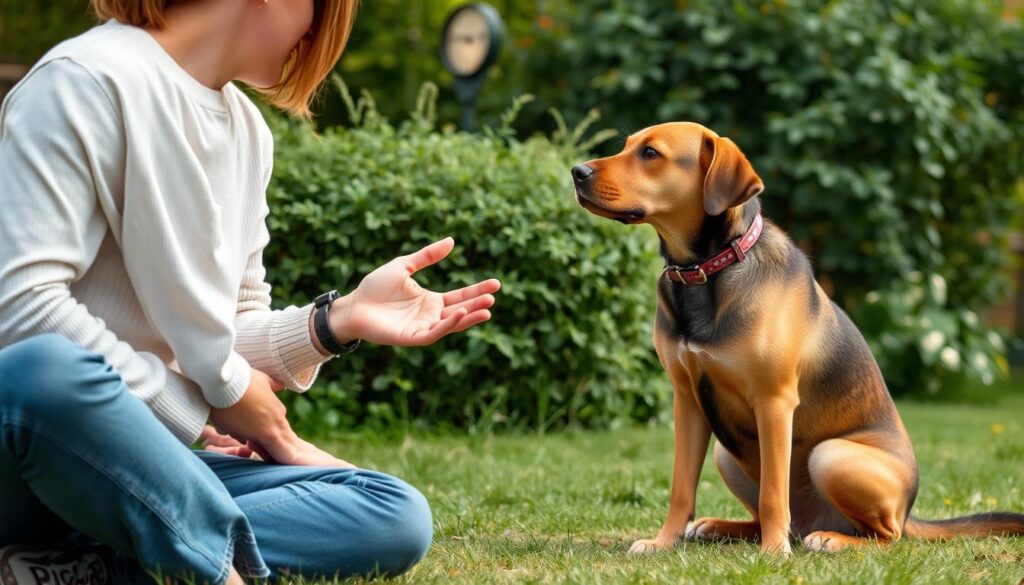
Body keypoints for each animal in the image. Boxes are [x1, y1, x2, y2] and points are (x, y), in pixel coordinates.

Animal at [573, 122, 1024, 553]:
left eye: (651, 153)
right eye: (627, 145)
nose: (577, 172)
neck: (706, 270)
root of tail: (910, 508)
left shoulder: (774, 403)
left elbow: (774, 494)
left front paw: (773, 554)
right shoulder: (687, 401)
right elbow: (681, 489)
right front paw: (664, 542)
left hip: (831, 456)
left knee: (885, 535)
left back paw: (831, 540)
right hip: (726, 453)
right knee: (770, 518)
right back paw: (720, 528)